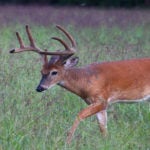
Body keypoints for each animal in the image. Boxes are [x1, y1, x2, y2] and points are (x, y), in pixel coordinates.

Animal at [9, 24, 150, 144]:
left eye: (54, 72)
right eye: (41, 71)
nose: (40, 88)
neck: (85, 80)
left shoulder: (102, 99)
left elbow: (79, 115)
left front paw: (67, 142)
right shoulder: (100, 104)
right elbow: (103, 129)